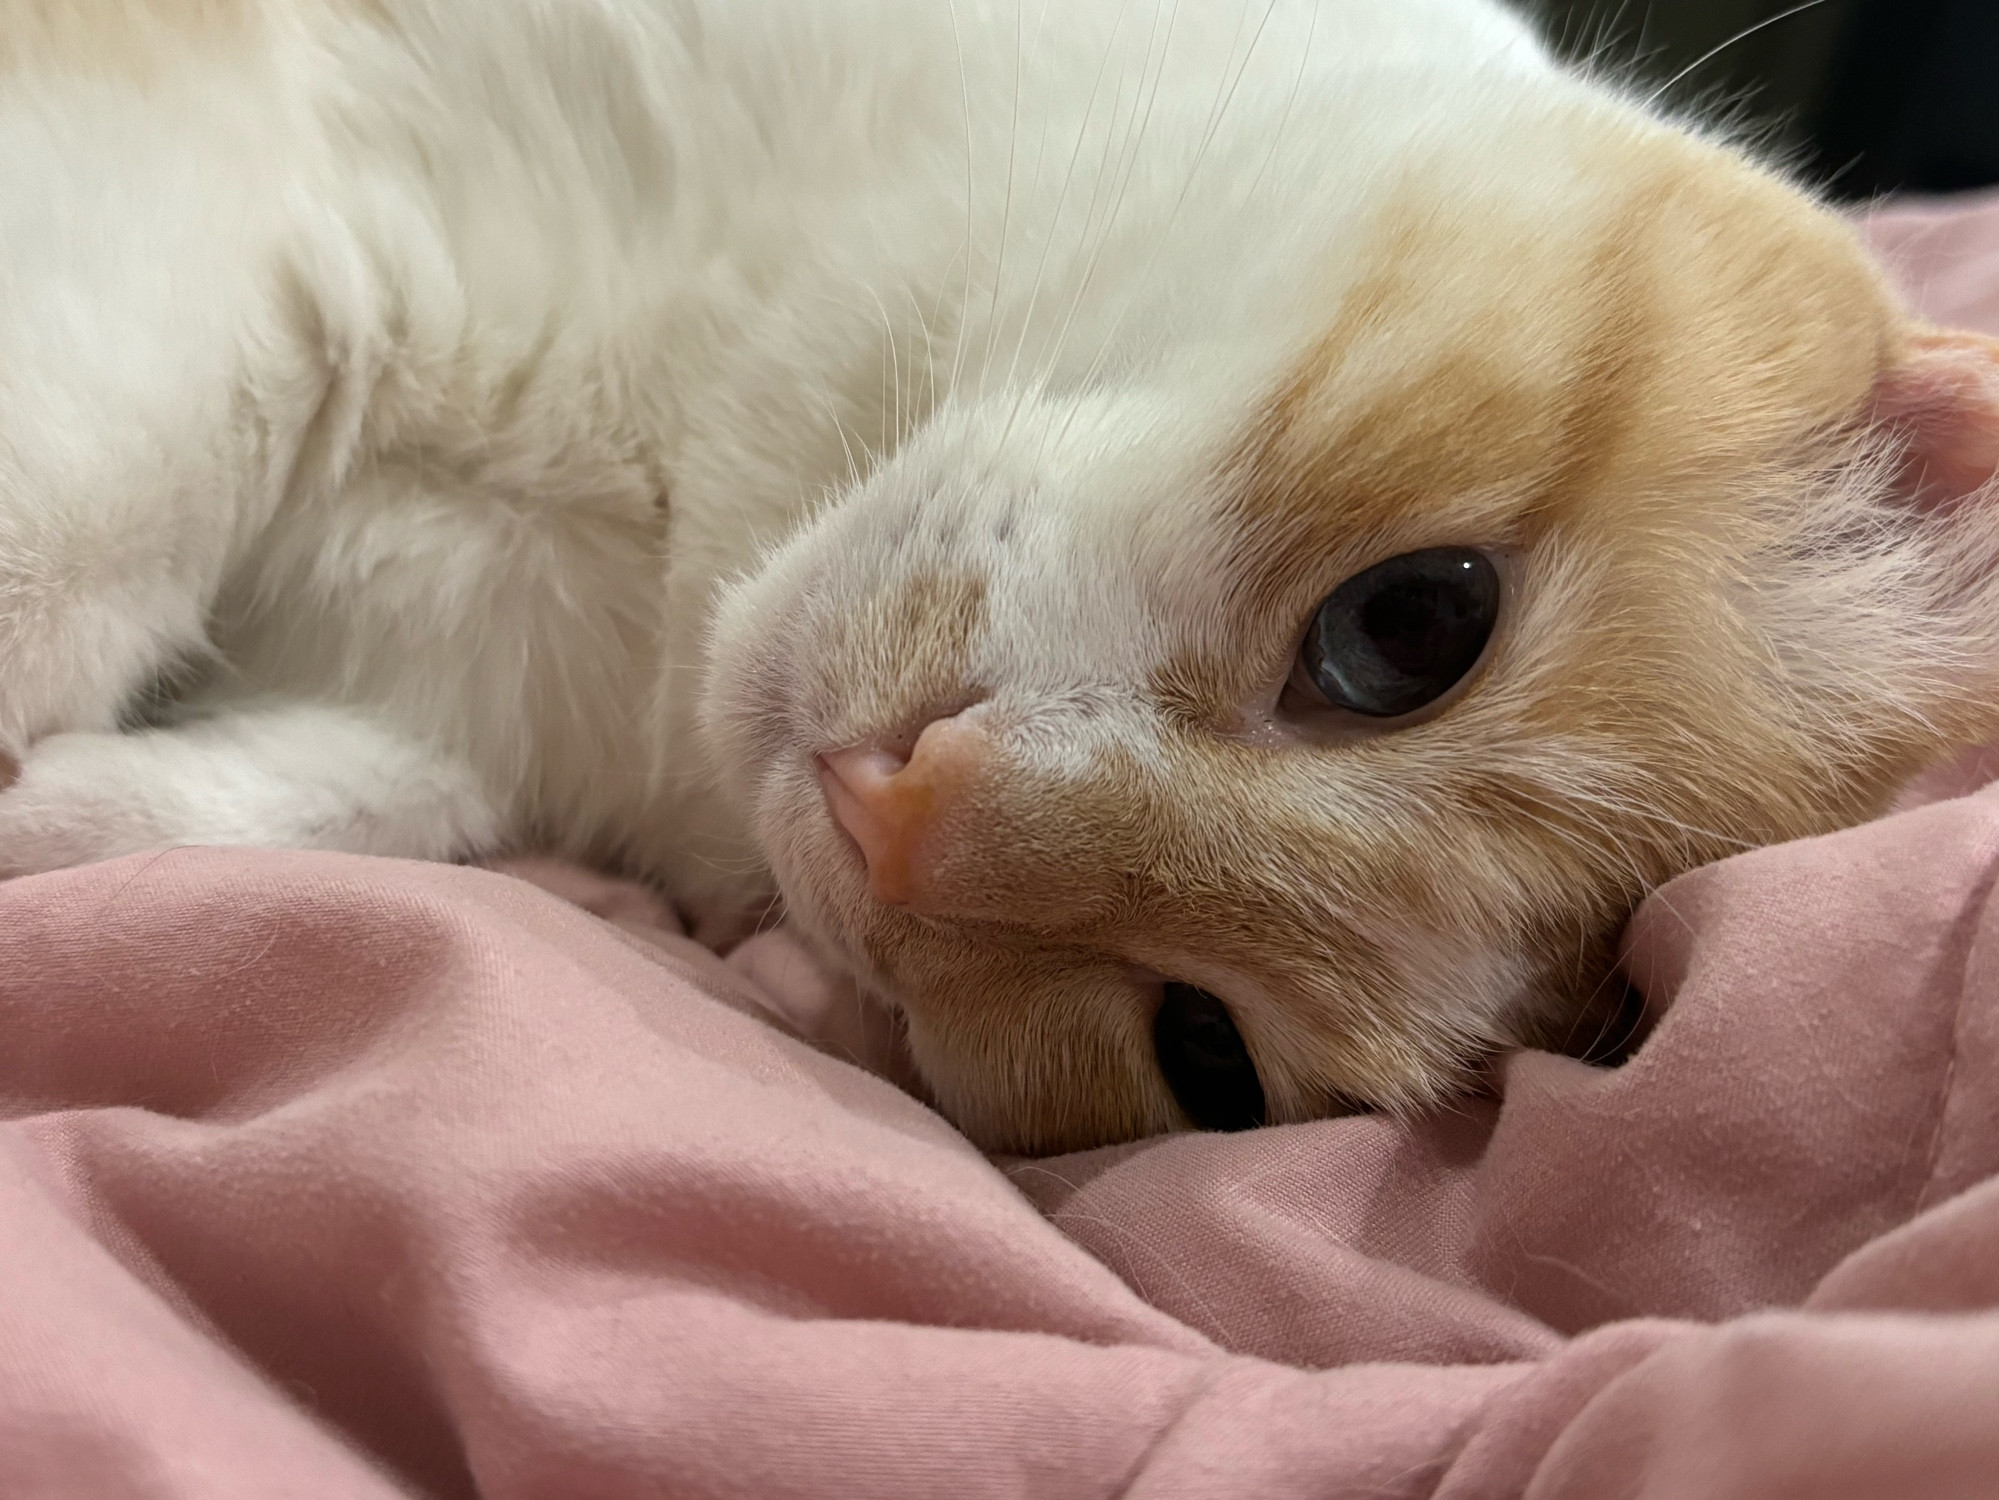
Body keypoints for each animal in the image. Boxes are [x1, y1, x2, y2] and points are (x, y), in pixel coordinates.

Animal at [3, 0, 1999, 1160]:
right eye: (1410, 624)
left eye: (1202, 1054)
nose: (899, 809)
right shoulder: (250, 200)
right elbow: (84, 510)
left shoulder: (463, 686)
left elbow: (322, 800)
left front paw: (69, 824)